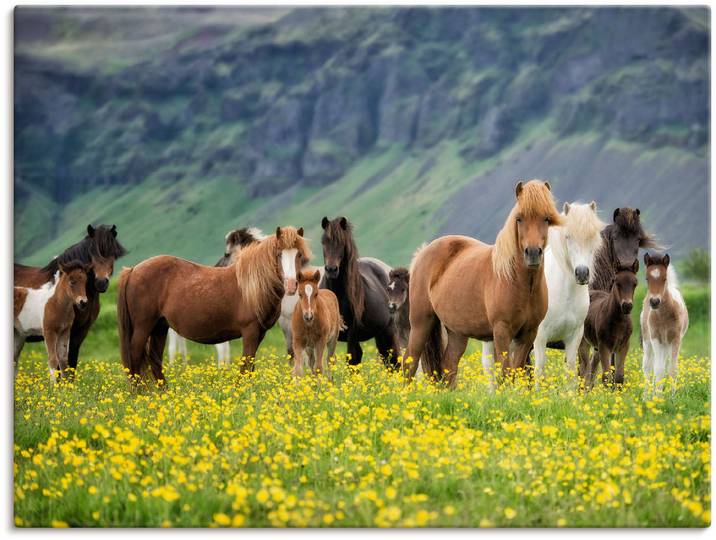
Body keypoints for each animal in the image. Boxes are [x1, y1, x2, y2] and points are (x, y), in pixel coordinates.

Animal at [320, 216, 400, 368]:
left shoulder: (352, 332)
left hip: (387, 330)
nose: (331, 270)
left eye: (342, 243)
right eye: (323, 241)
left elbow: (352, 359)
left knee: (393, 360)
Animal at [406, 180, 563, 389]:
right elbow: (505, 371)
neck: (518, 284)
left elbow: (517, 369)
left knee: (449, 364)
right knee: (409, 361)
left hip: (457, 332)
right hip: (421, 322)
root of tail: (422, 253)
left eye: (546, 218)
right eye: (519, 219)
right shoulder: (502, 331)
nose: (532, 253)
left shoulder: (528, 333)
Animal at [640, 253, 689, 393]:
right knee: (648, 366)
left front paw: (671, 395)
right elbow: (658, 369)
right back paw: (647, 395)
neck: (664, 316)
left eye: (664, 278)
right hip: (648, 340)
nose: (654, 302)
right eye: (647, 278)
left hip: (666, 344)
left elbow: (672, 369)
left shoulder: (676, 339)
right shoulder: (655, 338)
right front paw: (657, 395)